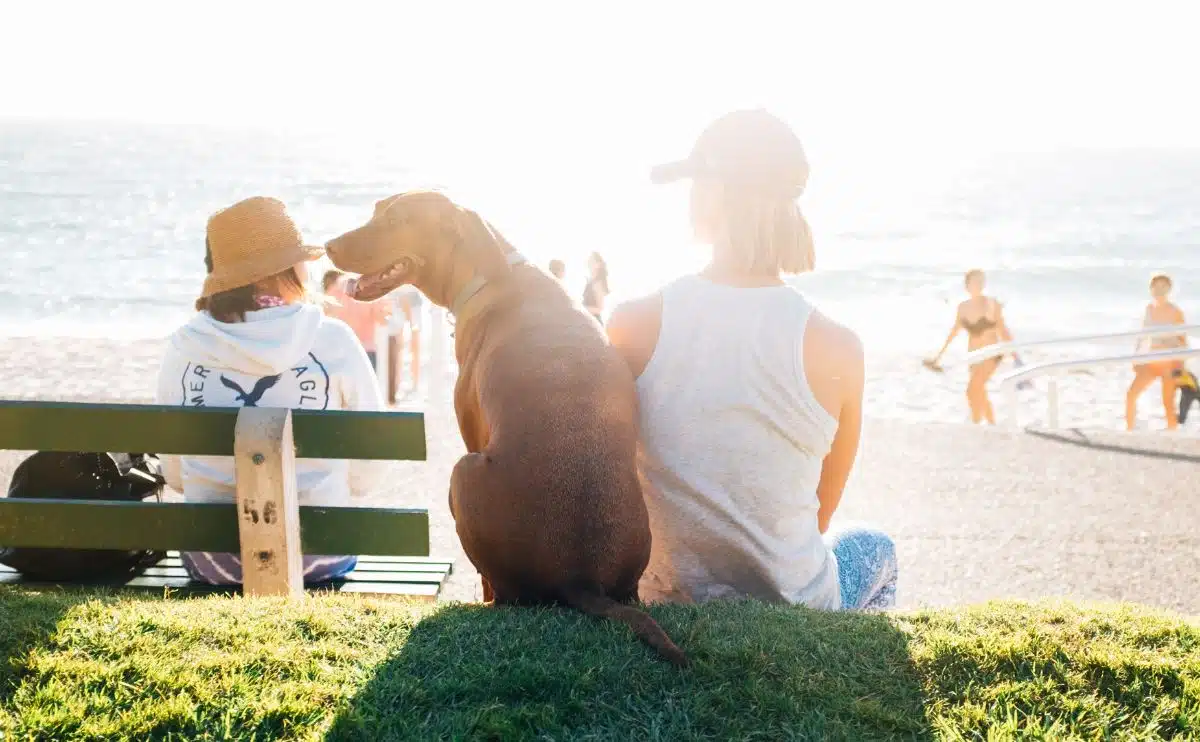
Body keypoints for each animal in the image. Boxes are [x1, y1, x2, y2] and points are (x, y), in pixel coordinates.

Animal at [324, 190, 691, 662]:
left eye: (397, 220)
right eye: (375, 211)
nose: (328, 246)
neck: (491, 272)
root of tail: (580, 577)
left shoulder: (470, 432)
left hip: (462, 473)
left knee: (502, 592)